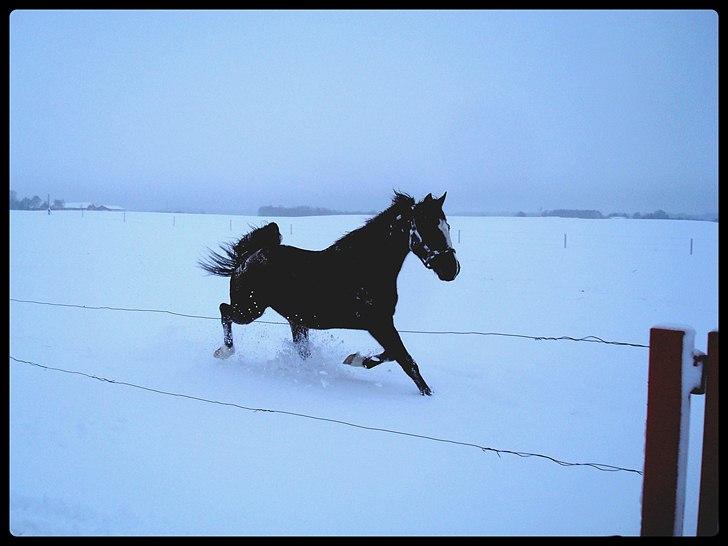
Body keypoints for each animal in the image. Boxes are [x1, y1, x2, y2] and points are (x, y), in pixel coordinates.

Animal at [198, 189, 460, 394]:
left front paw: (354, 359)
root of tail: (248, 256)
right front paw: (427, 394)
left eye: (447, 226)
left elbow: (391, 355)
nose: (452, 269)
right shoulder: (379, 323)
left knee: (301, 350)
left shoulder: (381, 324)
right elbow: (407, 361)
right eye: (429, 227)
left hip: (294, 320)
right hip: (250, 310)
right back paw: (224, 352)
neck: (366, 267)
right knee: (224, 310)